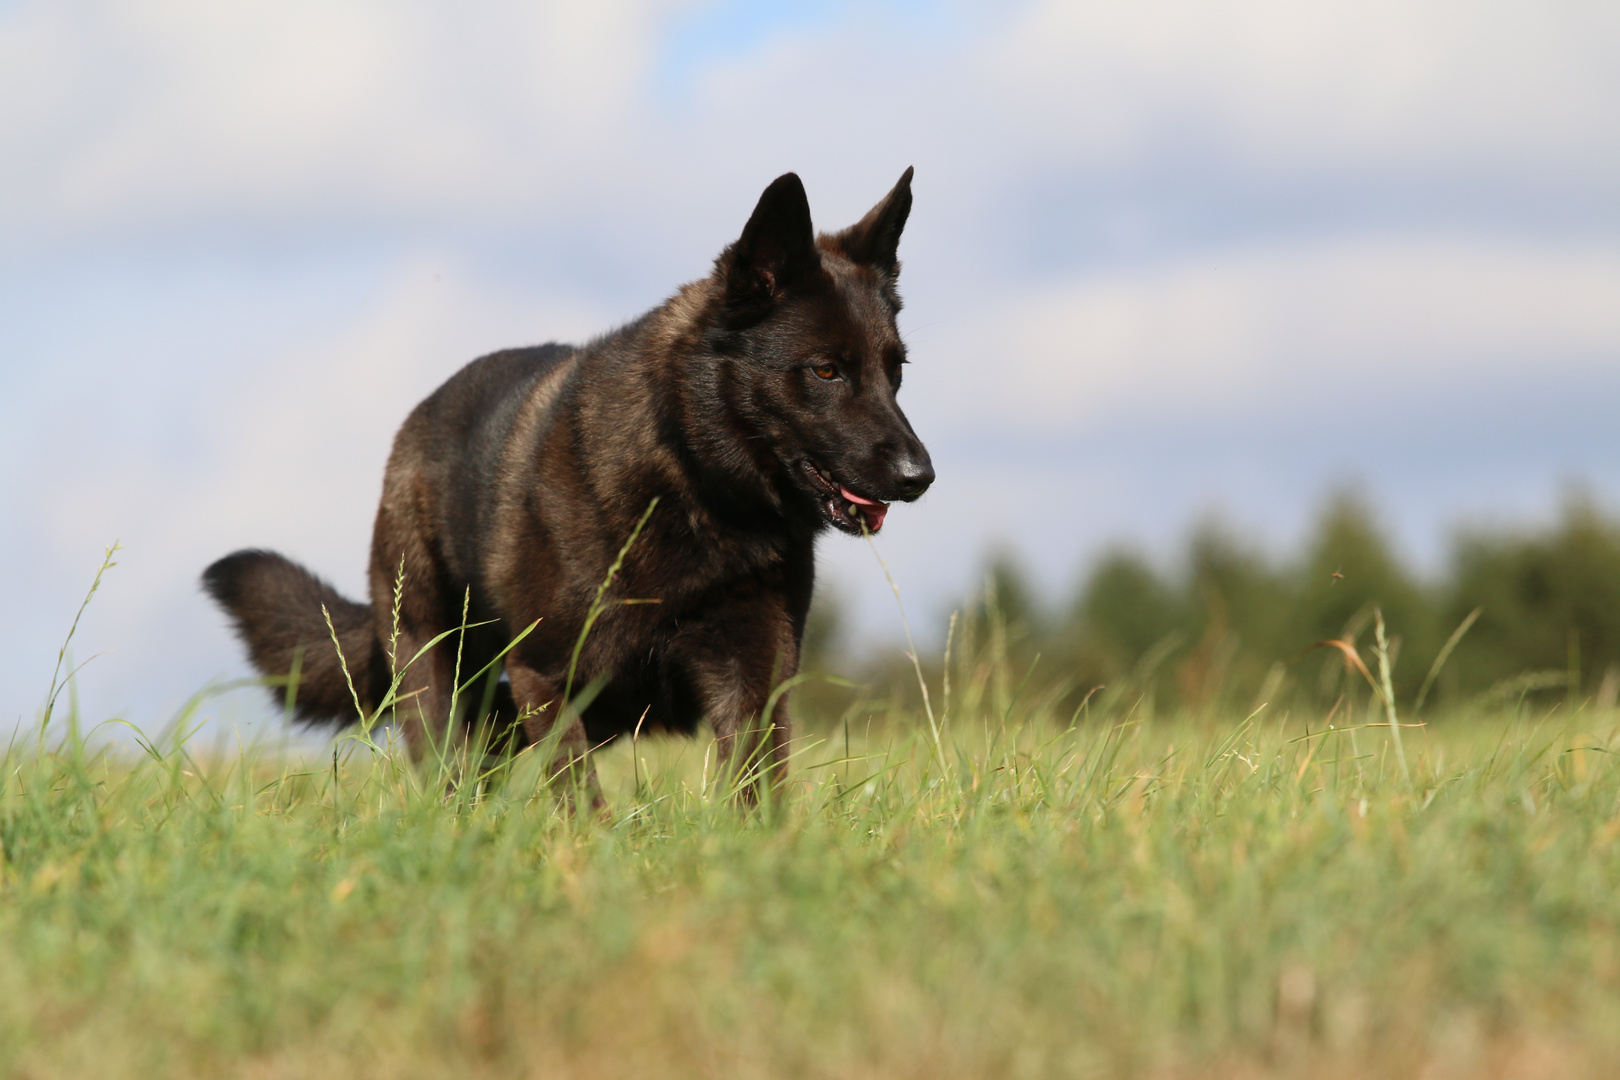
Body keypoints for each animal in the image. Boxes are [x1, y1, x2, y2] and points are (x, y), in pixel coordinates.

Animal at [204, 166, 939, 793]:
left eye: (894, 370)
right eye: (825, 371)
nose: (920, 477)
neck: (691, 485)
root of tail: (415, 424)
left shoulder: (752, 679)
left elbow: (754, 790)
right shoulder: (549, 678)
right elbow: (581, 797)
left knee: (492, 741)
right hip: (434, 661)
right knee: (453, 758)